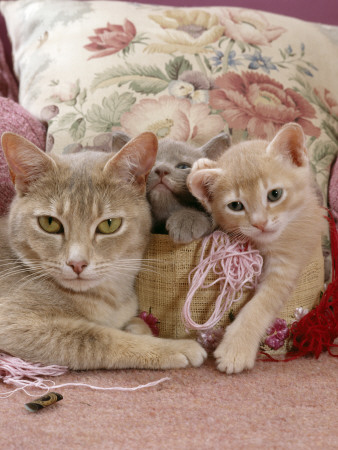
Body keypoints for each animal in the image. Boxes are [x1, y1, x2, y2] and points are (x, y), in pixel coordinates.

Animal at [0, 132, 206, 370]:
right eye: (49, 223)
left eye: (109, 224)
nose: (77, 263)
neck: (109, 295)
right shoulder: (17, 323)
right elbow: (102, 338)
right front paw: (175, 347)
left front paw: (137, 326)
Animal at [189, 122, 324, 372]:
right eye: (235, 206)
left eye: (275, 194)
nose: (260, 223)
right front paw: (202, 166)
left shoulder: (288, 262)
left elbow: (260, 305)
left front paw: (236, 349)